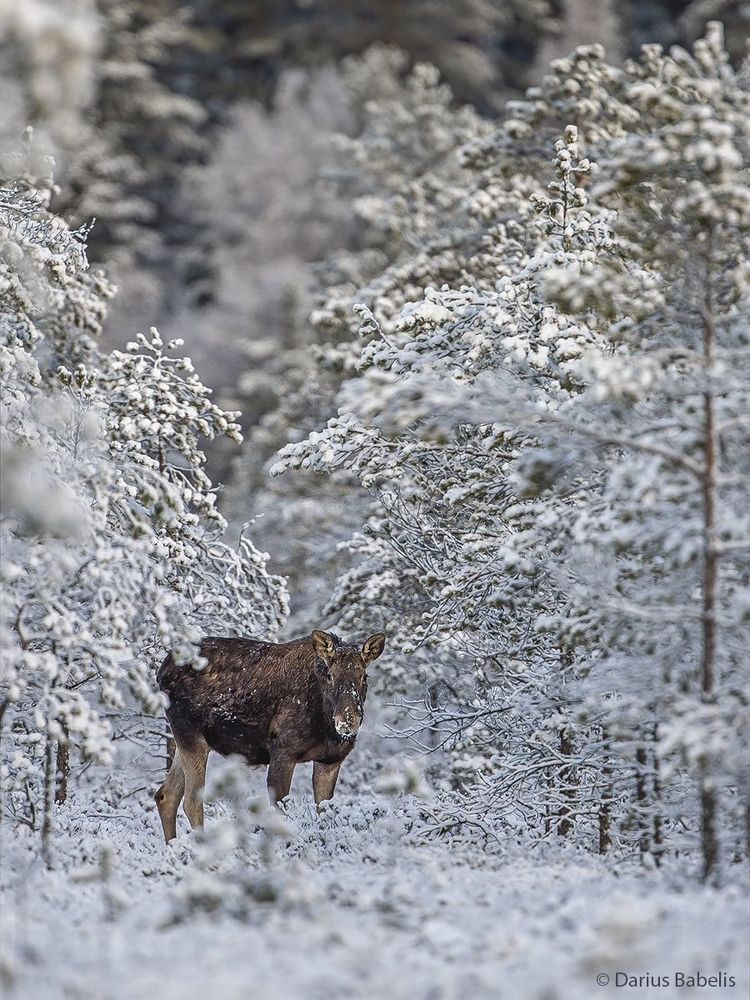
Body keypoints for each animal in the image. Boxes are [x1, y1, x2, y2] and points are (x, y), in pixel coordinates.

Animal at [154, 629, 386, 842]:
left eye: (364, 676)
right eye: (330, 675)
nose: (347, 720)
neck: (324, 727)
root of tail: (161, 672)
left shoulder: (330, 761)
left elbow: (324, 811)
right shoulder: (283, 753)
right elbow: (281, 815)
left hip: (184, 740)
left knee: (166, 795)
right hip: (191, 735)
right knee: (191, 801)